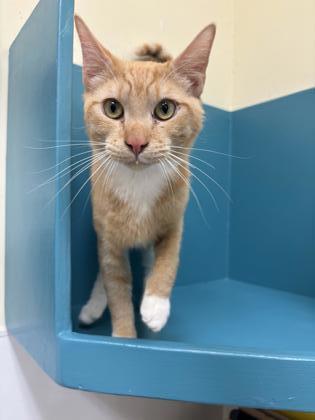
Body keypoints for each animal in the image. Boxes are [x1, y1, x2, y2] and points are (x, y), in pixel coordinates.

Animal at [75, 15, 216, 338]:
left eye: (165, 109)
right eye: (112, 108)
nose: (136, 143)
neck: (138, 183)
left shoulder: (174, 218)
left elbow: (168, 258)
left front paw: (155, 307)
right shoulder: (109, 238)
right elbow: (116, 286)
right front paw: (124, 335)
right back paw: (92, 307)